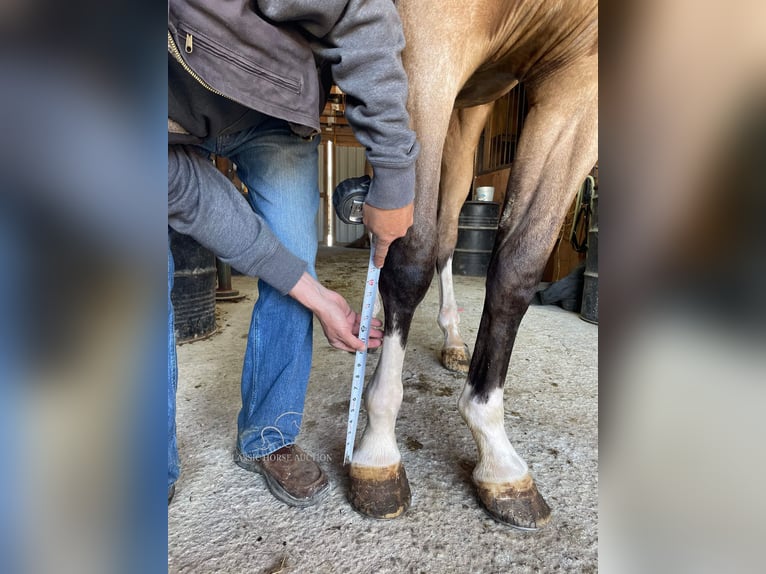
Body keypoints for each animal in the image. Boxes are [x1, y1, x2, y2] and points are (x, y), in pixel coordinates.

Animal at [348, 0, 600, 532]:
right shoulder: (427, 33)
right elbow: (409, 257)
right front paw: (377, 446)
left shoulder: (580, 77)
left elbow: (518, 267)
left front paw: (498, 456)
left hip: (466, 117)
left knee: (444, 231)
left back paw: (451, 339)